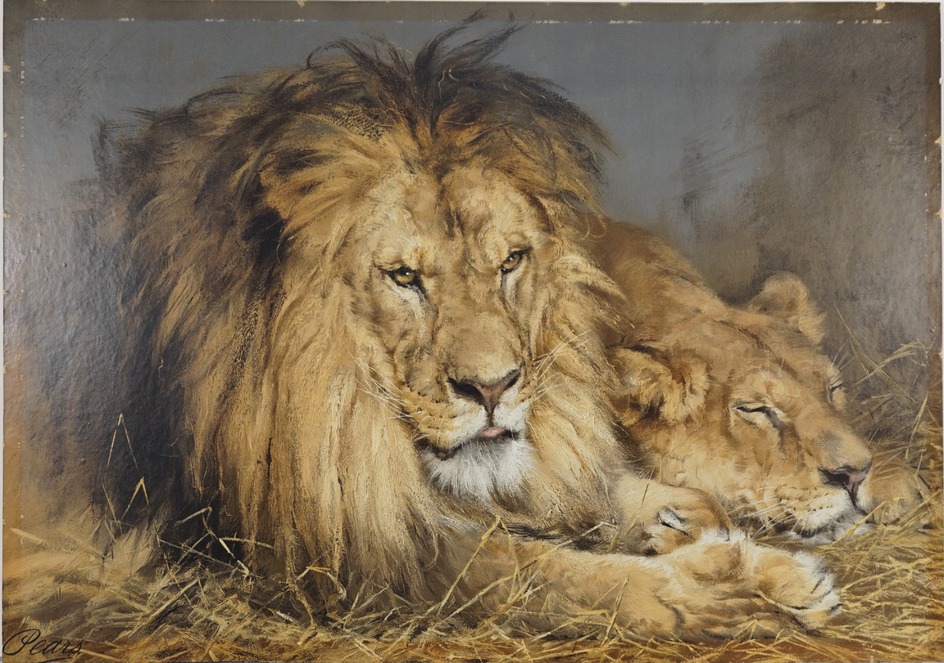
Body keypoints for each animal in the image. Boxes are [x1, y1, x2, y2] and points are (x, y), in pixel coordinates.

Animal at [95, 22, 841, 638]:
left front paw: (683, 519)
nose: (492, 388)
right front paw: (744, 586)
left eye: (510, 261)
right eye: (403, 276)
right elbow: (545, 574)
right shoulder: (333, 557)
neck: (345, 411)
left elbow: (593, 489)